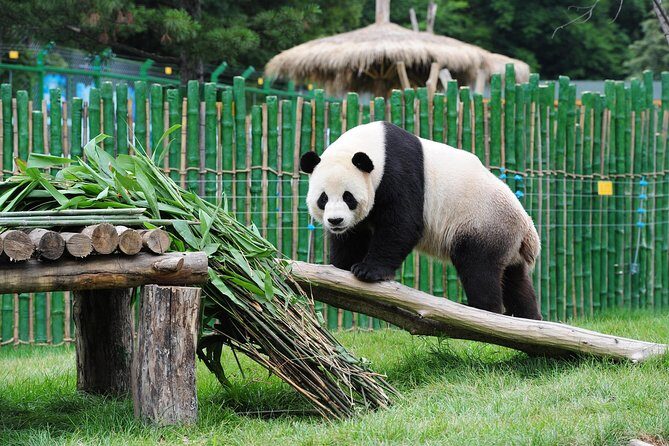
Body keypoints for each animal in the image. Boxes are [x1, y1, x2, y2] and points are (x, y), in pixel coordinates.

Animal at [300, 121, 542, 320]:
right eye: (323, 198)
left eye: (348, 197)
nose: (335, 221)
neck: (374, 145)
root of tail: (526, 227)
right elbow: (354, 235)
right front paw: (338, 268)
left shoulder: (398, 173)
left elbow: (402, 224)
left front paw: (368, 271)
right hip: (505, 240)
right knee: (515, 280)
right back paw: (527, 317)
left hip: (482, 223)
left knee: (479, 268)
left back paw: (483, 310)